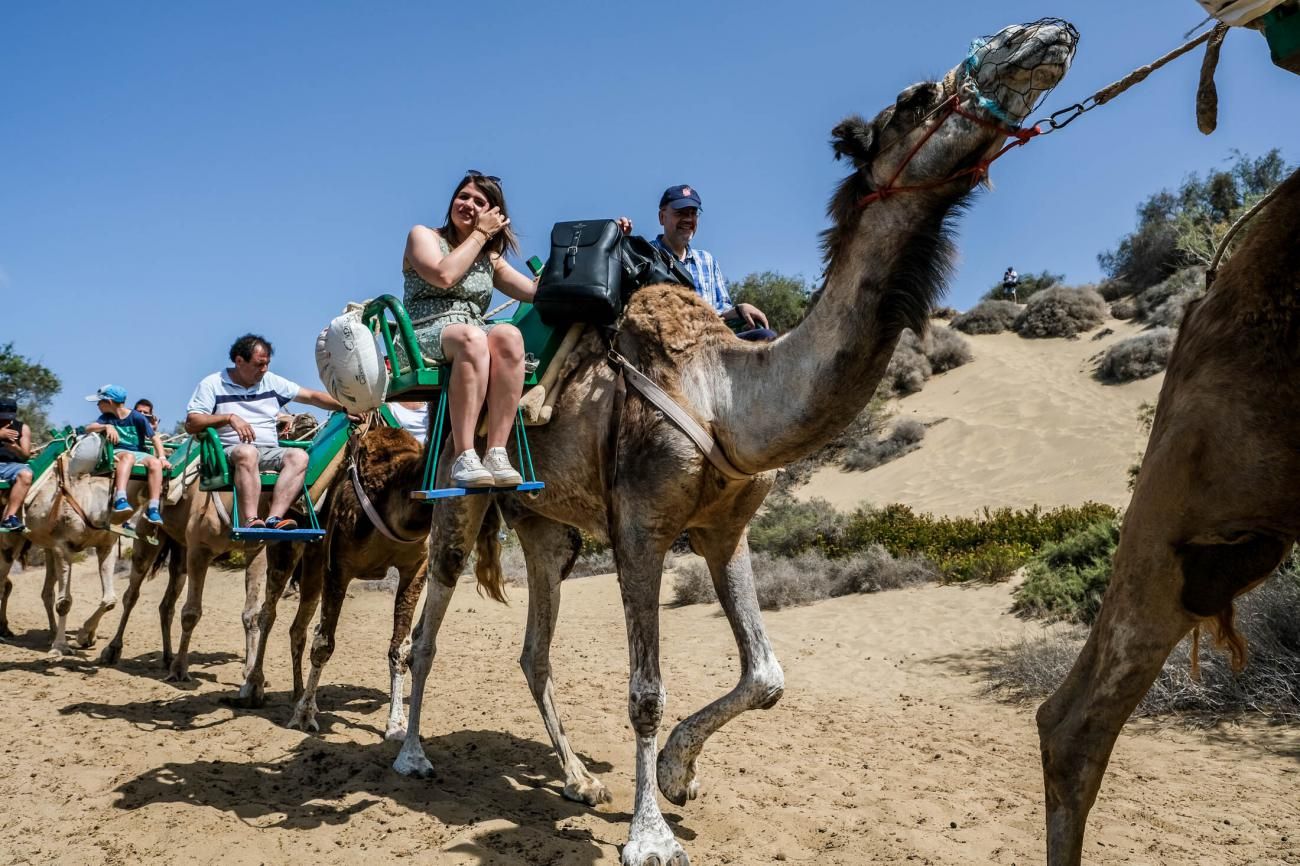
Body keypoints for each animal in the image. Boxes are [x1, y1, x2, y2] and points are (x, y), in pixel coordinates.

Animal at [392, 21, 1076, 863]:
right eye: (916, 97)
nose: (1041, 35)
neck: (725, 395)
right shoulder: (641, 527)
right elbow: (646, 691)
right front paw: (650, 836)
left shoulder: (726, 528)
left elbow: (767, 675)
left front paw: (679, 774)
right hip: (457, 489)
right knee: (428, 625)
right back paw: (411, 755)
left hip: (551, 527)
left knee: (534, 648)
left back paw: (579, 779)